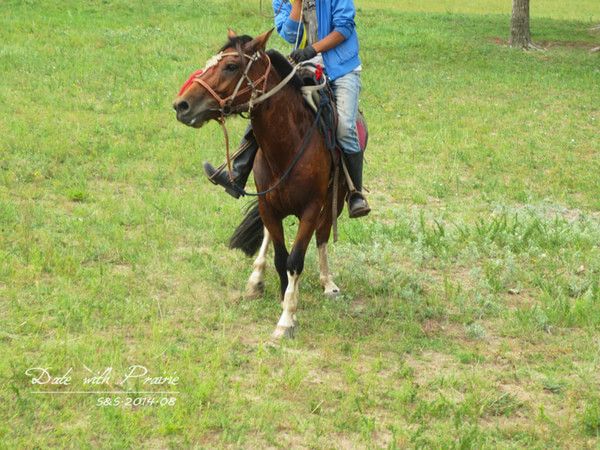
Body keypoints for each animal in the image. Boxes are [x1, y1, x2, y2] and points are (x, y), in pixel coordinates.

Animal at [173, 29, 346, 340]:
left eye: (231, 66)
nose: (182, 105)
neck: (288, 146)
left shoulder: (311, 208)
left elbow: (295, 260)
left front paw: (286, 320)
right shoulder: (268, 205)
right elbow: (280, 257)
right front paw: (283, 300)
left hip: (334, 200)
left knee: (323, 234)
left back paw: (328, 283)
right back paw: (256, 280)